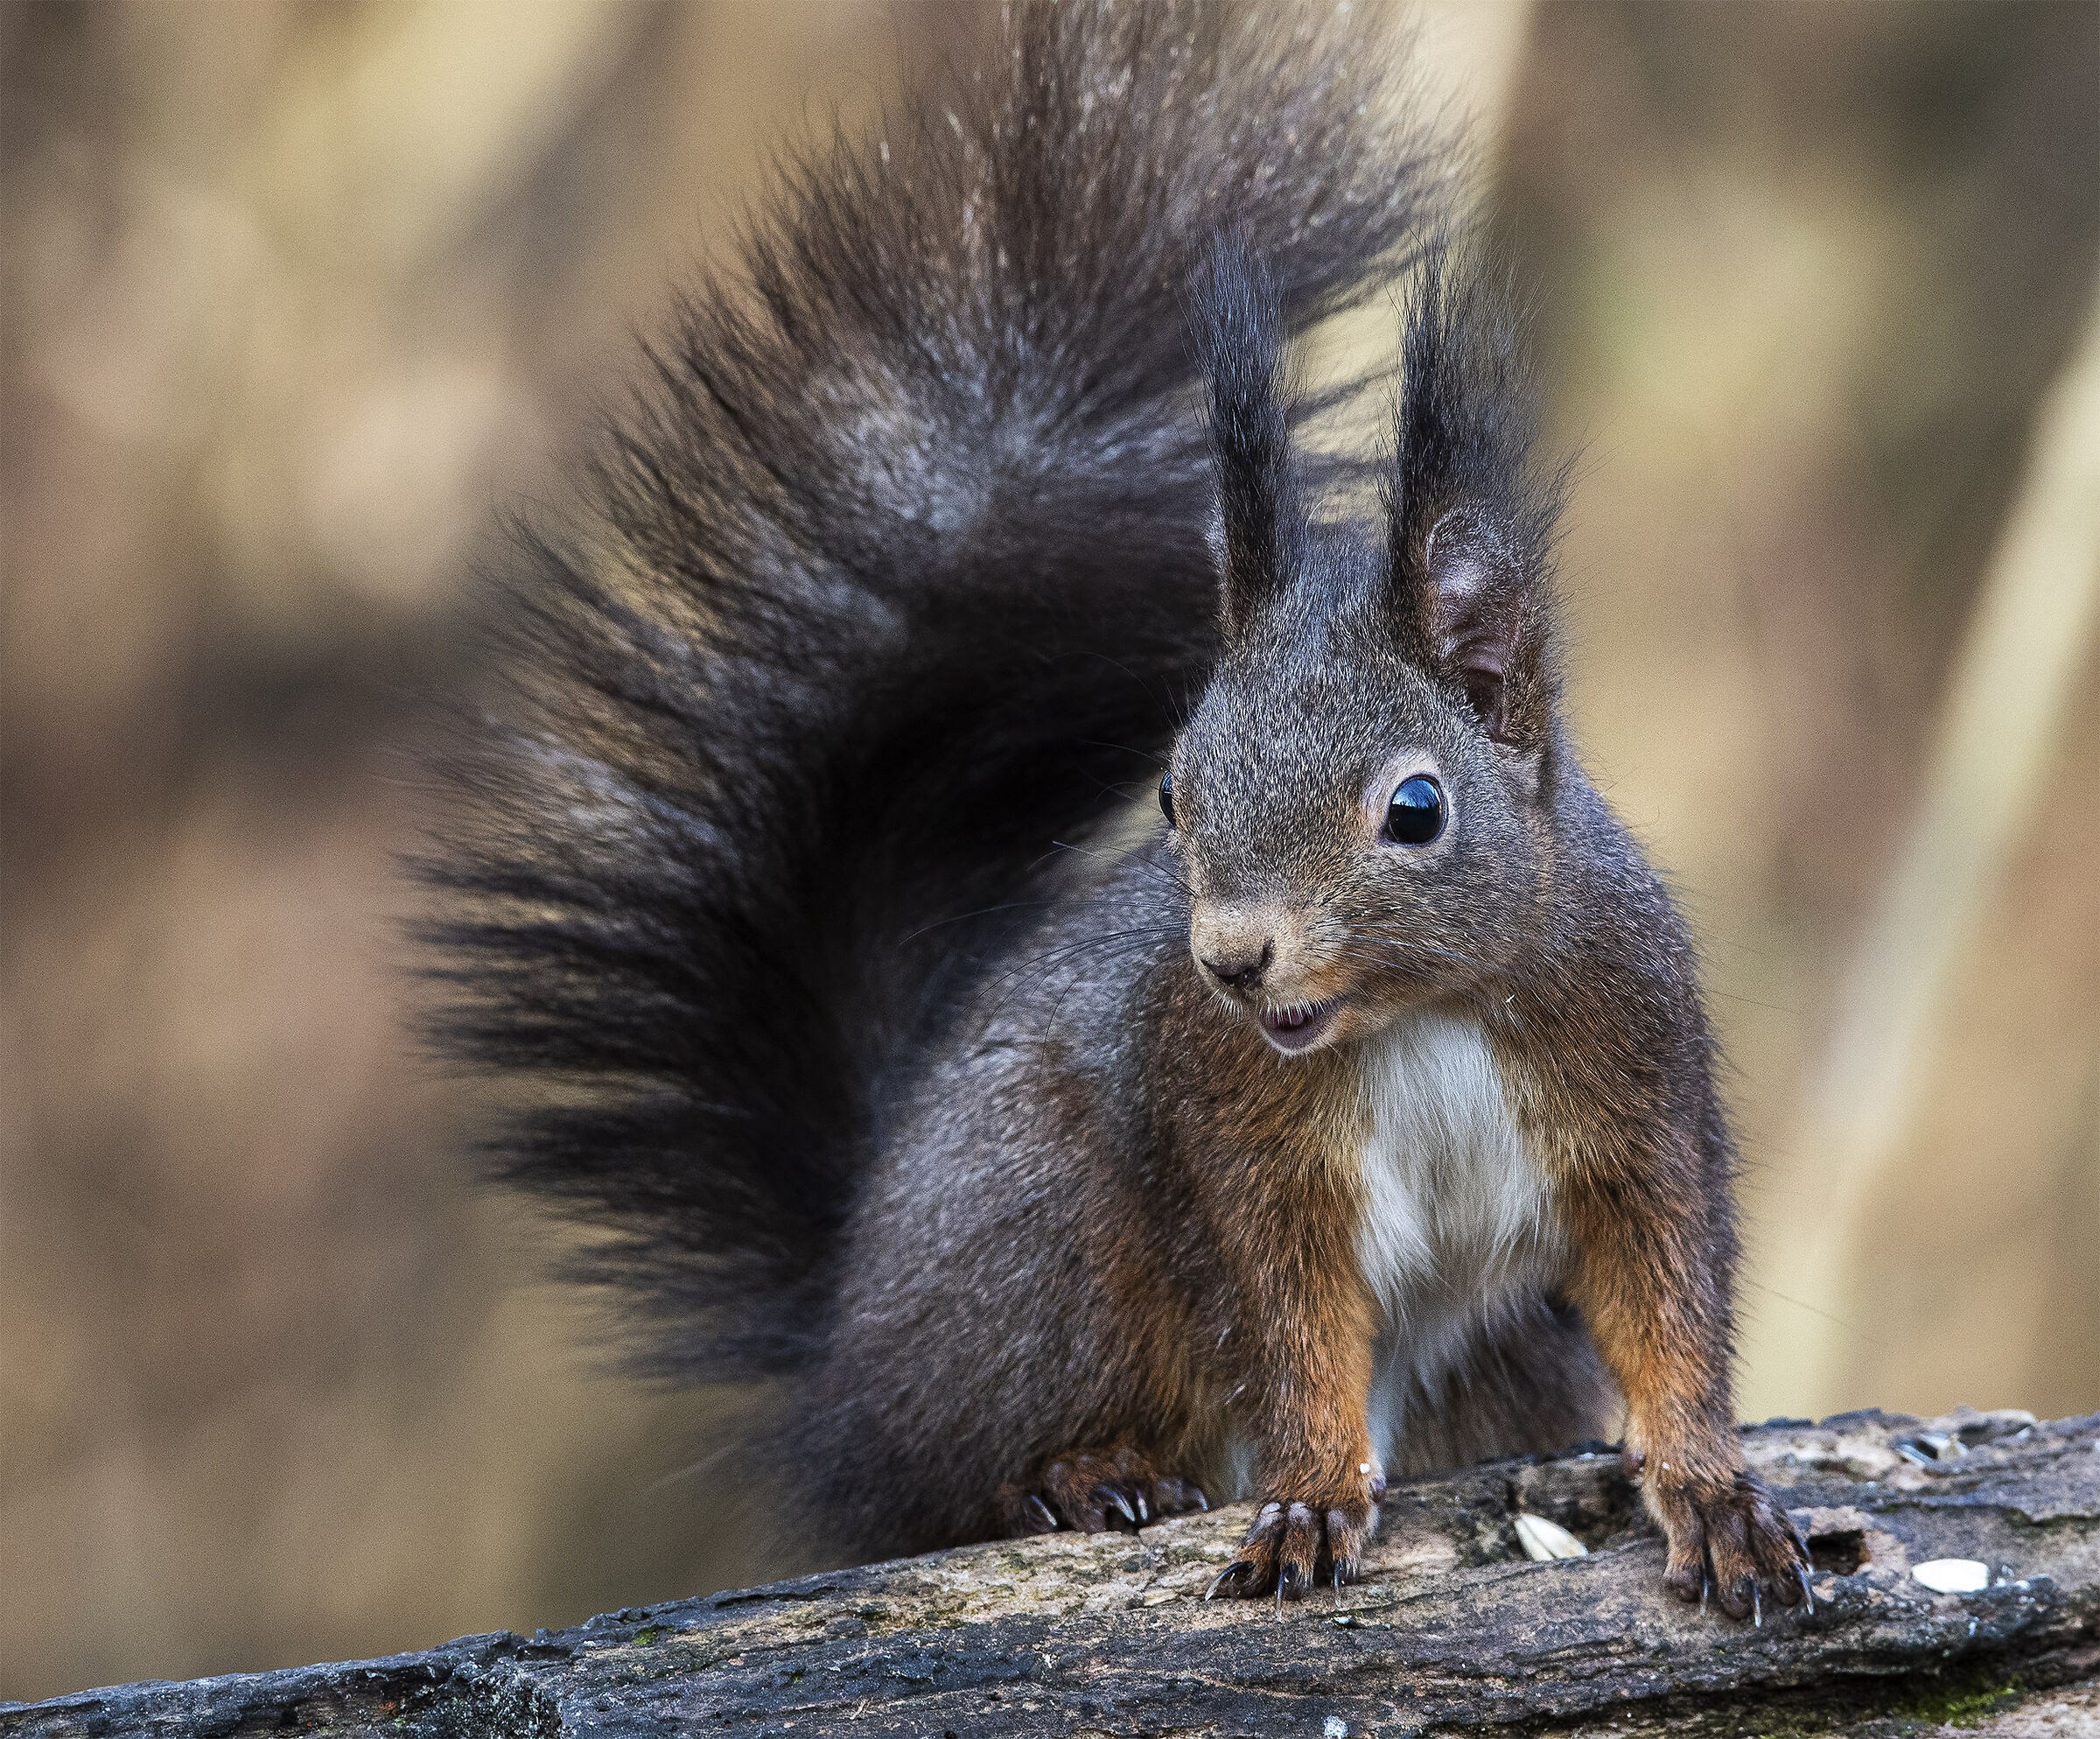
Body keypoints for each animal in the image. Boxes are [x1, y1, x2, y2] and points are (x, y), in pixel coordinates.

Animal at [421, 1, 1811, 1616]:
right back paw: (1078, 1475)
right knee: (952, 1475)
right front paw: (1312, 1493)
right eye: (1170, 788)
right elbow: (1289, 1328)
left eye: (1416, 807)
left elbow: (1668, 1291)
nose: (1232, 958)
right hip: (1046, 1240)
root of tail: (843, 1358)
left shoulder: (1634, 1088)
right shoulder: (1239, 1147)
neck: (1420, 1017)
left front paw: (1709, 1487)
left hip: (1490, 1346)